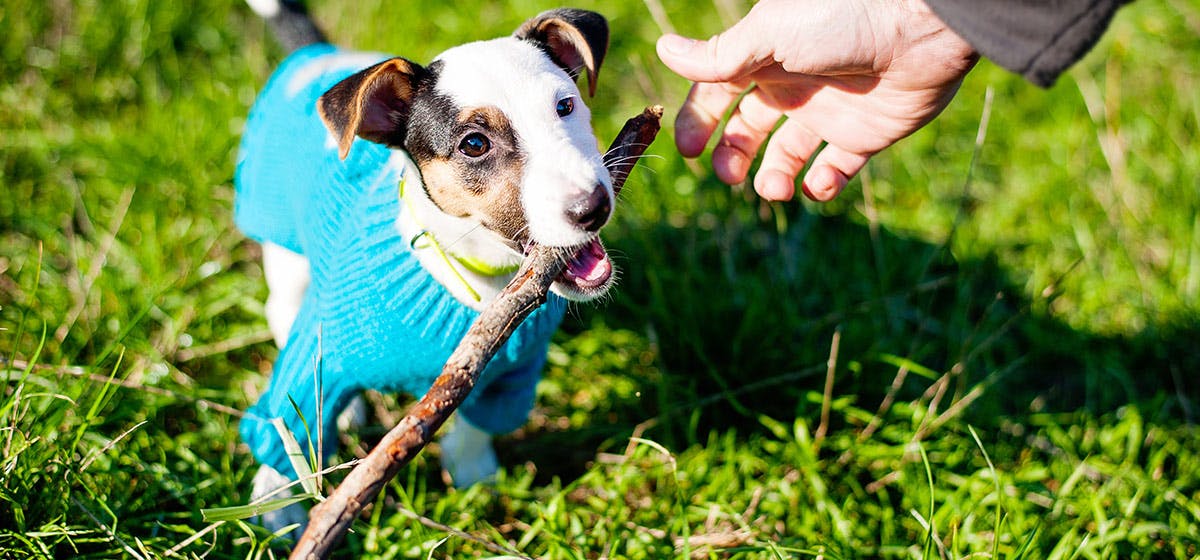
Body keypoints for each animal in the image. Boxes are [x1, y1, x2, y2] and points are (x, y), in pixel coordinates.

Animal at [232, 0, 614, 534]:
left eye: (565, 106)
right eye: (474, 144)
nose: (593, 208)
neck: (475, 274)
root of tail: (318, 53)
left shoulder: (508, 374)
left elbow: (475, 425)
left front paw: (476, 480)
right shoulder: (316, 353)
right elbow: (289, 423)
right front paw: (278, 507)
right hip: (284, 252)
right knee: (282, 309)